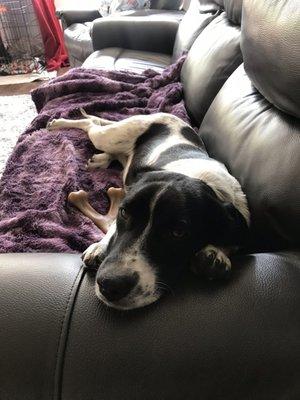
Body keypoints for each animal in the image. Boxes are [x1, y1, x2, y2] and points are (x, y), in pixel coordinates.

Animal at [47, 111, 248, 310]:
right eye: (124, 212)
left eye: (178, 232)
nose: (110, 285)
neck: (195, 176)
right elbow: (113, 228)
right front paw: (100, 246)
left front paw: (215, 254)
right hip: (108, 137)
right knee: (91, 124)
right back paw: (57, 123)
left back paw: (101, 159)